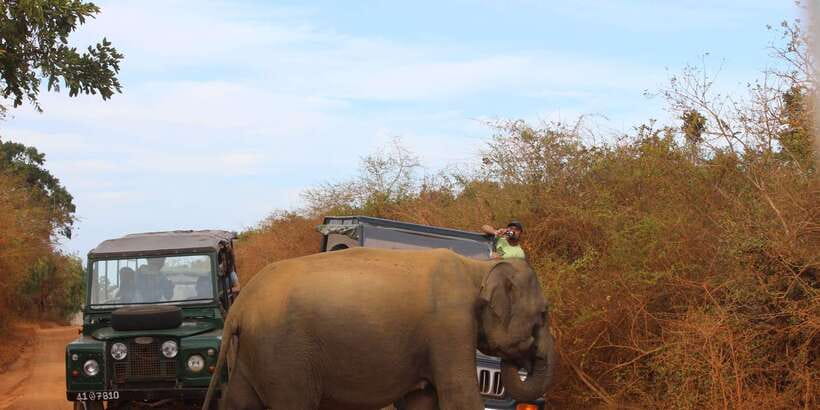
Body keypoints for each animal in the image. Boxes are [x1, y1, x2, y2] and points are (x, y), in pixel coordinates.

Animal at [202, 247, 555, 410]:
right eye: (544, 313)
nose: (521, 356)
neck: (478, 267)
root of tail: (240, 305)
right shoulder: (451, 327)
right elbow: (459, 396)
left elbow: (420, 401)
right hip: (284, 356)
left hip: (255, 354)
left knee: (239, 401)